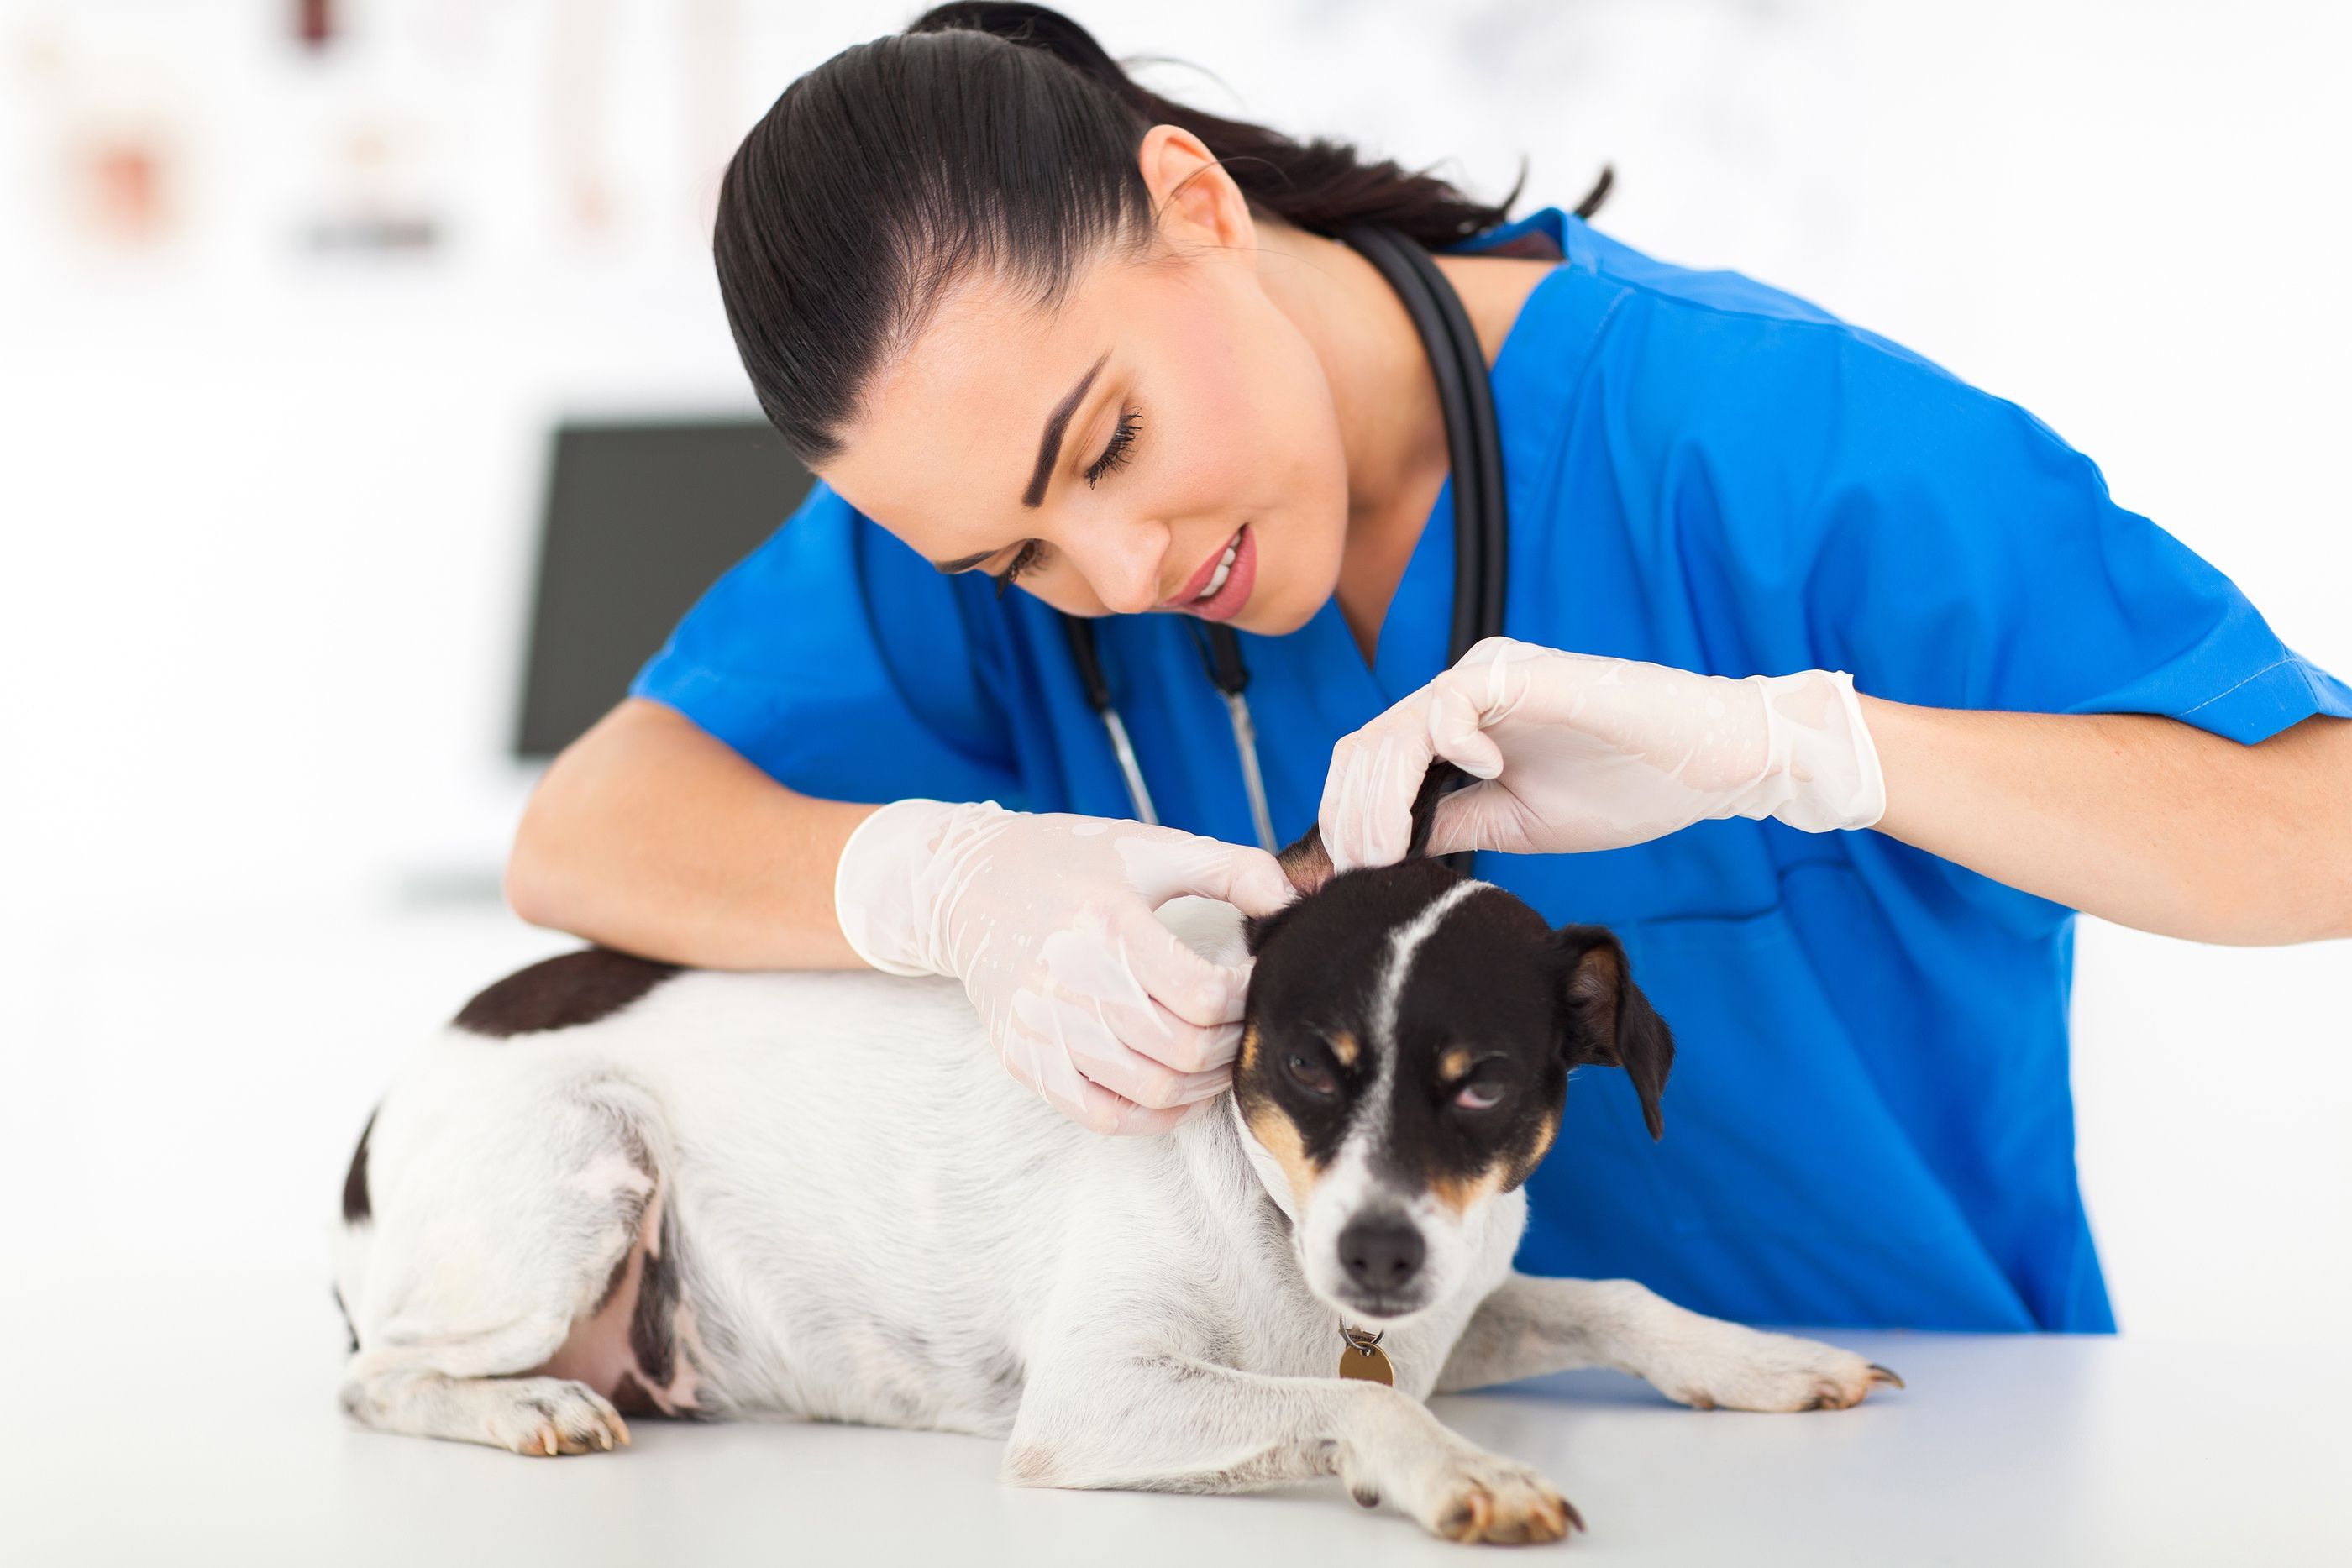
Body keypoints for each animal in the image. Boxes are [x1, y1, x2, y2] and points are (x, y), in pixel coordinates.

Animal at [341, 780, 1900, 1542]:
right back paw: (526, 1406)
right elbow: (1364, 1405)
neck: (1275, 1223)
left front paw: (1762, 1357)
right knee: (380, 1377)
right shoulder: (1092, 1395)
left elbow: (1609, 1296)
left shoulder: (1453, 1301)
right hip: (582, 1168)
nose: (1376, 1251)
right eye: (1305, 1065)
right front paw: (1458, 1468)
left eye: (1486, 1085)